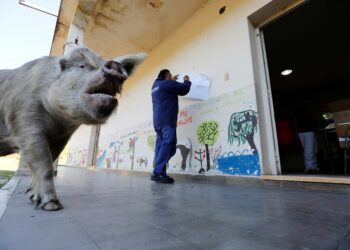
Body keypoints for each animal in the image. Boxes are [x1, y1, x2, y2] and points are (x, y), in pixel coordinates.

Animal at [0, 47, 146, 210]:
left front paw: (32, 197)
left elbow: (51, 159)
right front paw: (52, 205)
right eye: (82, 66)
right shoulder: (24, 118)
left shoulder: (62, 137)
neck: (58, 120)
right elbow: (44, 164)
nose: (115, 65)